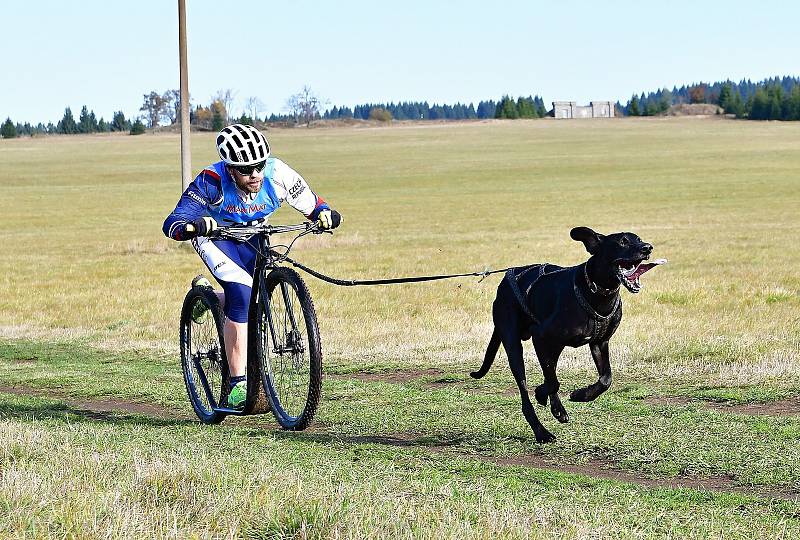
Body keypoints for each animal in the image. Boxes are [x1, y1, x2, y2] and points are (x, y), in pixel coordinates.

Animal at [472, 228, 664, 442]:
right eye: (622, 242)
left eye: (639, 239)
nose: (647, 248)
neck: (596, 290)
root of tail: (504, 283)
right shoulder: (541, 336)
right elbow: (553, 381)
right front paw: (543, 394)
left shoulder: (600, 342)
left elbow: (606, 378)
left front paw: (582, 395)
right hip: (515, 345)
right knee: (526, 393)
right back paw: (542, 431)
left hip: (553, 349)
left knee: (550, 372)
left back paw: (556, 410)